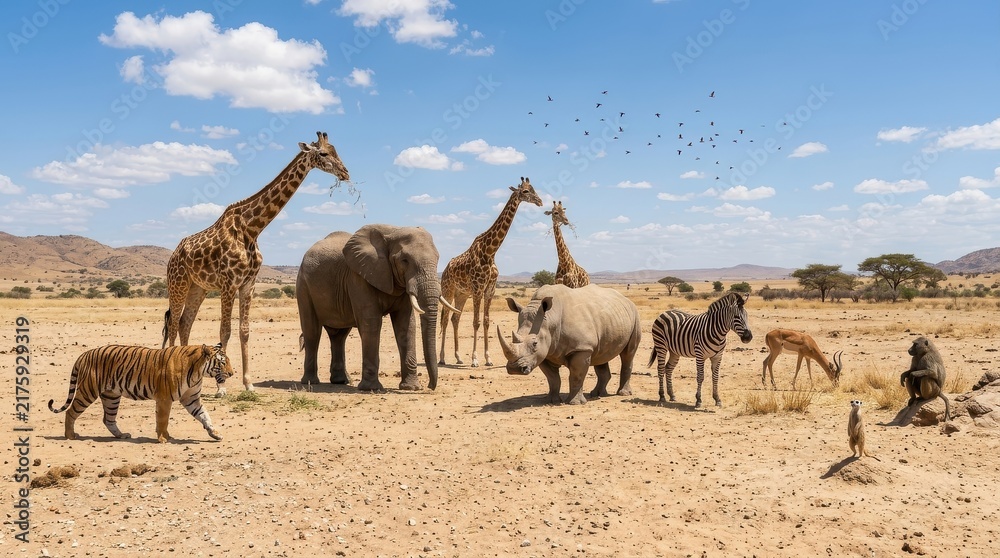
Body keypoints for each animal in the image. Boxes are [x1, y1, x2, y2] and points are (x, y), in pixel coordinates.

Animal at [48, 343, 233, 443]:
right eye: (222, 363)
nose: (232, 373)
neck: (198, 372)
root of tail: (85, 353)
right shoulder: (164, 398)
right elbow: (163, 420)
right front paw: (164, 438)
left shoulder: (191, 399)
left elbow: (205, 416)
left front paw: (215, 434)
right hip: (88, 391)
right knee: (71, 412)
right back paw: (70, 435)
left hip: (111, 396)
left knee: (108, 419)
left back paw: (122, 435)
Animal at [296, 224, 451, 391]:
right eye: (405, 260)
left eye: (437, 258)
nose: (430, 386)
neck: (393, 231)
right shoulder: (359, 277)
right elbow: (371, 323)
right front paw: (371, 388)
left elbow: (406, 326)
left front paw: (411, 388)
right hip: (303, 285)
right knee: (312, 331)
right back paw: (310, 382)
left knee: (339, 335)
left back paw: (341, 381)